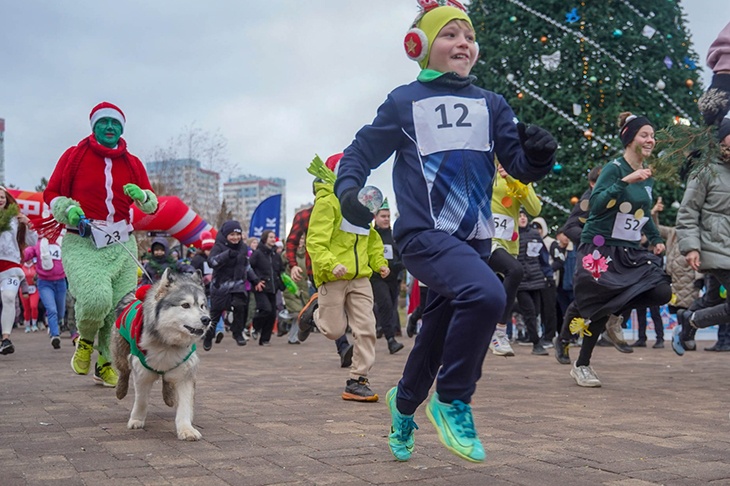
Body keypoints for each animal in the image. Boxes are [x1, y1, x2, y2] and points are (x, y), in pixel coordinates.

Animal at [112, 268, 210, 442]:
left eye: (202, 306)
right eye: (185, 305)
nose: (207, 319)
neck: (167, 344)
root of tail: (134, 292)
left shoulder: (186, 372)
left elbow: (185, 406)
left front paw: (186, 429)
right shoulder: (142, 371)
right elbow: (142, 400)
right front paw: (136, 419)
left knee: (167, 378)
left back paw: (169, 397)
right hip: (121, 351)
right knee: (123, 371)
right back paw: (121, 391)